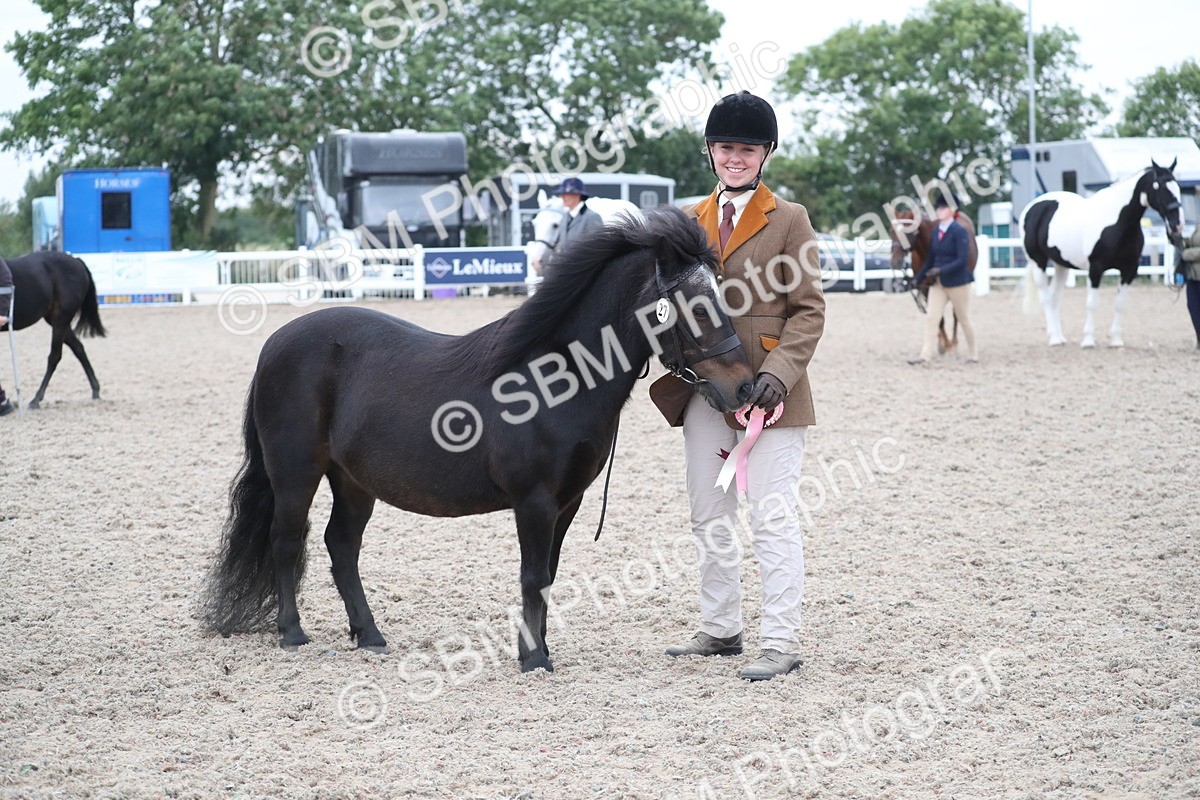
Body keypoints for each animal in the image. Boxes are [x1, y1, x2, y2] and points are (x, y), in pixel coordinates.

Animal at [0, 252, 106, 408]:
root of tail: (76, 260)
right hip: (58, 322)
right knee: (78, 348)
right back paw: (95, 390)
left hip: (60, 321)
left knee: (55, 357)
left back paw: (36, 399)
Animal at [202, 207, 755, 674]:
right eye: (696, 306)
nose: (745, 388)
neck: (553, 377)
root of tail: (277, 342)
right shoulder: (534, 502)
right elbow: (533, 577)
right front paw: (534, 659)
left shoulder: (567, 503)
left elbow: (549, 576)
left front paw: (540, 648)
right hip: (295, 472)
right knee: (286, 539)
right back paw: (292, 633)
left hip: (353, 481)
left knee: (341, 545)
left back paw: (370, 634)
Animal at [1020, 160, 1185, 347]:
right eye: (1159, 186)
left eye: (1177, 187)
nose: (1178, 224)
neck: (1117, 223)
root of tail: (1033, 207)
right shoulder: (1095, 269)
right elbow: (1092, 304)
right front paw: (1088, 340)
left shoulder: (1129, 270)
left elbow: (1120, 304)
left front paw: (1116, 340)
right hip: (1038, 262)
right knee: (1046, 298)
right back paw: (1054, 338)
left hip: (1061, 264)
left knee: (1055, 298)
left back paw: (1060, 337)